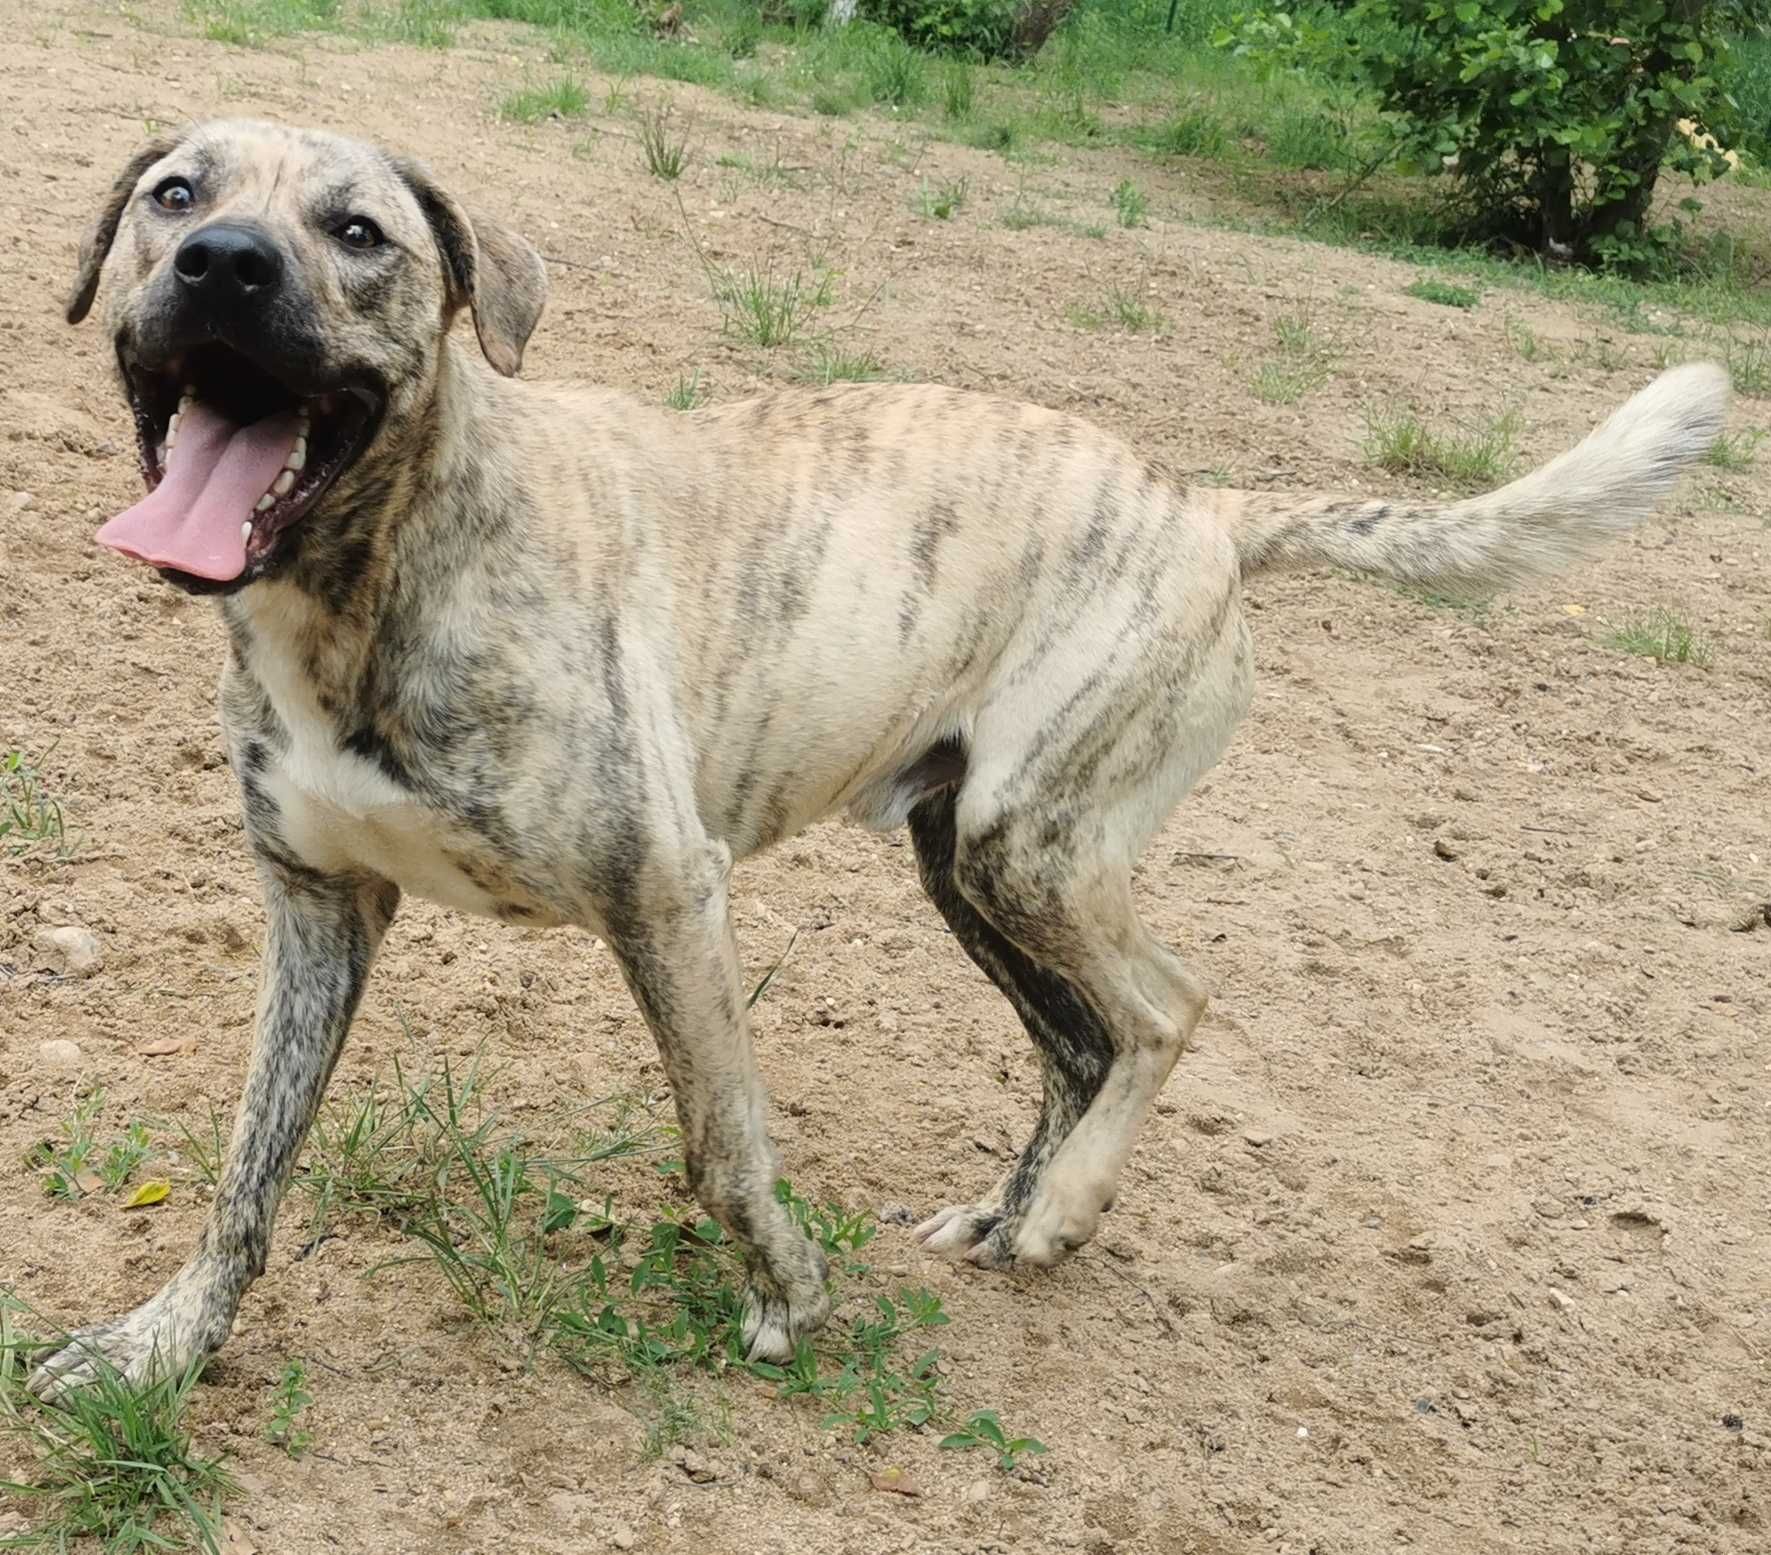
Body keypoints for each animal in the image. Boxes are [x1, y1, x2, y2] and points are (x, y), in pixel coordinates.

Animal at [34, 122, 1728, 1402]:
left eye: (359, 231)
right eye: (174, 194)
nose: (222, 264)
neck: (366, 574)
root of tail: (1200, 503)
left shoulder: (666, 893)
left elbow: (723, 1141)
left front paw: (788, 1291)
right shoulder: (317, 912)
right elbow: (246, 1168)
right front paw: (160, 1344)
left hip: (1032, 840)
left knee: (1163, 1011)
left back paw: (1064, 1210)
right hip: (960, 856)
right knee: (1078, 1043)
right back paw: (1015, 1205)